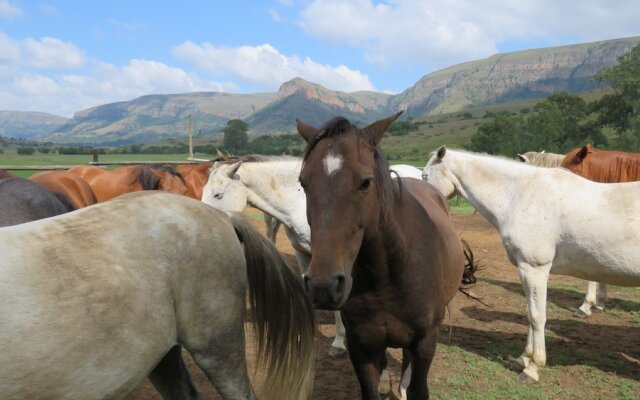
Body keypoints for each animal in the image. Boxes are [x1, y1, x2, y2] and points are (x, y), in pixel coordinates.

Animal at [298, 113, 468, 400]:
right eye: (303, 182)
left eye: (366, 182)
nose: (323, 286)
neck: (389, 274)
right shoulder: (361, 347)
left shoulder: (425, 343)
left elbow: (418, 387)